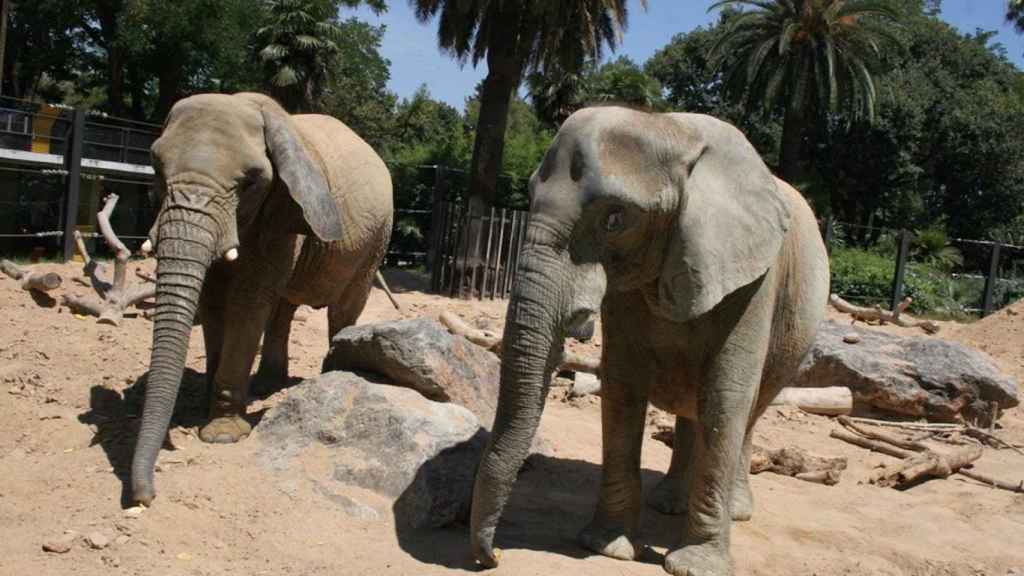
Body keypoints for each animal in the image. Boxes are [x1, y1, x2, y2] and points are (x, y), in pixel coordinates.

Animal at [131, 91, 391, 504]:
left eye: (249, 182)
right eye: (156, 168)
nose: (146, 496)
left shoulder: (282, 210)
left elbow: (247, 302)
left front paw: (221, 435)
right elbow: (212, 301)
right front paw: (205, 409)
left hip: (374, 241)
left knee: (344, 309)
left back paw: (331, 376)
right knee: (284, 309)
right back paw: (268, 385)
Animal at [471, 107, 831, 573]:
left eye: (615, 218)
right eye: (530, 194)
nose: (492, 556)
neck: (669, 128)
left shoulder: (754, 278)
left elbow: (726, 394)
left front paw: (692, 567)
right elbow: (622, 384)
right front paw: (607, 547)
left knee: (749, 407)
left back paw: (735, 512)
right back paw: (670, 504)